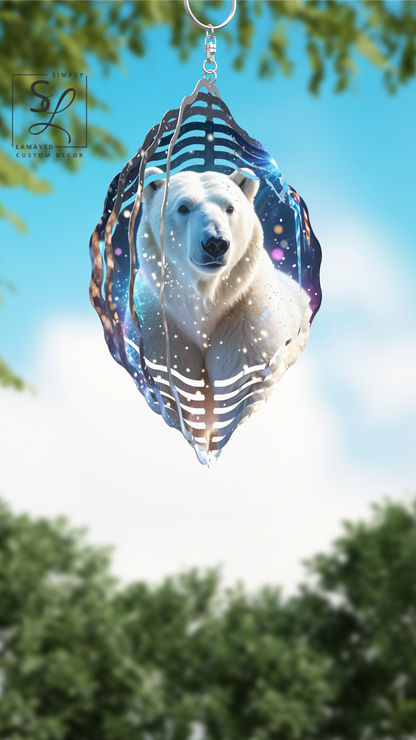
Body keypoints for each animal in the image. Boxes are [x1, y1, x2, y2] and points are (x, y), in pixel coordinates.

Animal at [133, 166, 311, 450]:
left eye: (229, 207)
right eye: (183, 207)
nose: (215, 243)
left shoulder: (246, 320)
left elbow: (241, 386)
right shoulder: (161, 325)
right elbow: (174, 386)